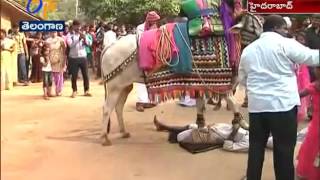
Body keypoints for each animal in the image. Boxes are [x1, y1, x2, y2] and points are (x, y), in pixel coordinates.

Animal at [100, 0, 262, 146]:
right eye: (252, 27)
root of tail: (110, 46)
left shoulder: (200, 84)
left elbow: (201, 105)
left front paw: (202, 127)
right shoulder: (221, 84)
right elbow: (232, 102)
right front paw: (243, 123)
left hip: (124, 86)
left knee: (118, 107)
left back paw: (123, 131)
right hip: (114, 87)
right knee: (106, 109)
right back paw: (104, 138)